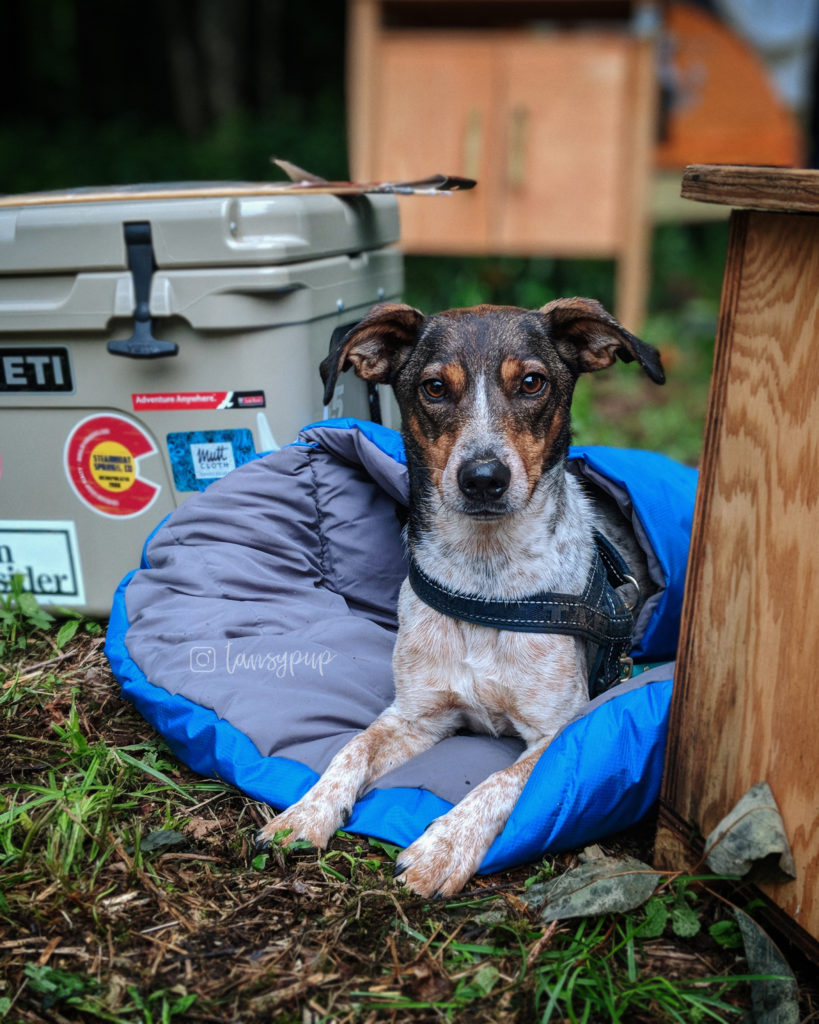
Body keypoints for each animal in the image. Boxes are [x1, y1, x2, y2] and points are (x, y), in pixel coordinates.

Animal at [255, 296, 663, 897]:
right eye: (433, 388)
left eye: (533, 383)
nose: (484, 477)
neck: (486, 584)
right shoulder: (415, 716)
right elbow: (351, 749)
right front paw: (305, 812)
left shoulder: (554, 732)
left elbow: (502, 784)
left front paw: (442, 847)